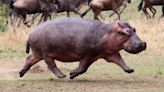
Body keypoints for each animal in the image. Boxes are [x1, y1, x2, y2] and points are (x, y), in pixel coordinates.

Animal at [19, 17, 147, 79]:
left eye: (134, 29)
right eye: (126, 32)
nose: (143, 43)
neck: (107, 32)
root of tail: (31, 32)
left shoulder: (110, 53)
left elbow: (120, 60)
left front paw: (130, 70)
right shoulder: (88, 54)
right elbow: (83, 68)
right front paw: (71, 74)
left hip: (38, 53)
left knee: (29, 59)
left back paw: (21, 73)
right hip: (45, 53)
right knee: (51, 64)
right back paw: (62, 75)